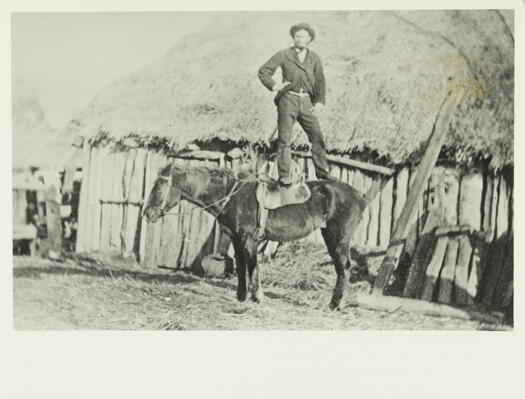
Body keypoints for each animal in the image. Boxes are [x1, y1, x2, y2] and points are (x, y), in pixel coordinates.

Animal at [141, 162, 366, 310]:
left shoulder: (248, 238)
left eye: (159, 187)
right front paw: (241, 297)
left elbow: (252, 266)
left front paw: (257, 297)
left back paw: (335, 303)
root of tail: (358, 196)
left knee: (344, 267)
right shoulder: (235, 239)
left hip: (338, 238)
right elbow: (241, 266)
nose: (147, 213)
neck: (231, 196)